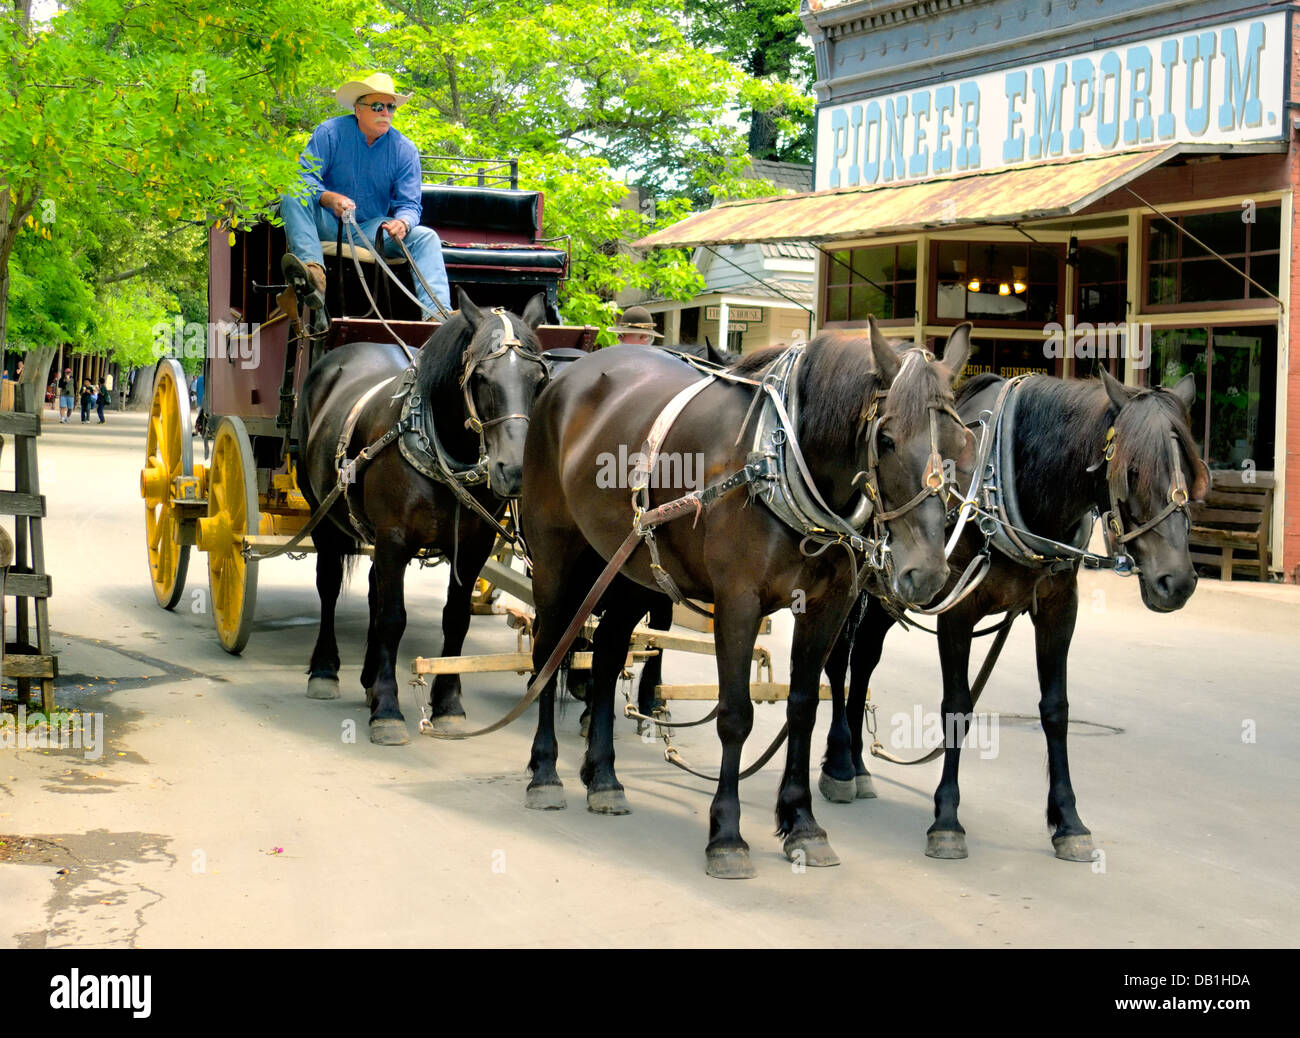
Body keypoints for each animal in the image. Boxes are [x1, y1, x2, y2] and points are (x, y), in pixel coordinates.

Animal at [293, 292, 548, 744]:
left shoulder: (473, 546)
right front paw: (388, 711)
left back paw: (368, 678)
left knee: (374, 590)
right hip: (323, 514)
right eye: (482, 378)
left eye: (538, 380)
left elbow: (455, 619)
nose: (516, 471)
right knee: (329, 584)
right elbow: (393, 618)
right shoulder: (394, 538)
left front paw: (447, 705)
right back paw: (325, 669)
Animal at [517, 325, 977, 879]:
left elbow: (803, 708)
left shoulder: (829, 606)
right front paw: (727, 834)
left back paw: (604, 777)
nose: (927, 573)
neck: (780, 459)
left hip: (632, 563)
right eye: (886, 440)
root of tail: (565, 377)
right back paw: (545, 772)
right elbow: (735, 715)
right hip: (554, 553)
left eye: (960, 445)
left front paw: (802, 823)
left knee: (606, 655)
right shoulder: (738, 601)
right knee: (549, 650)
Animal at [821, 372, 1206, 863]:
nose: (1177, 581)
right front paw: (947, 820)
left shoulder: (1061, 608)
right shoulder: (957, 610)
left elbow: (1055, 709)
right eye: (1132, 471)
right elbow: (956, 707)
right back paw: (838, 765)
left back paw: (857, 765)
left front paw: (1069, 821)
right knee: (838, 663)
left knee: (865, 659)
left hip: (894, 591)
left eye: (1192, 472)